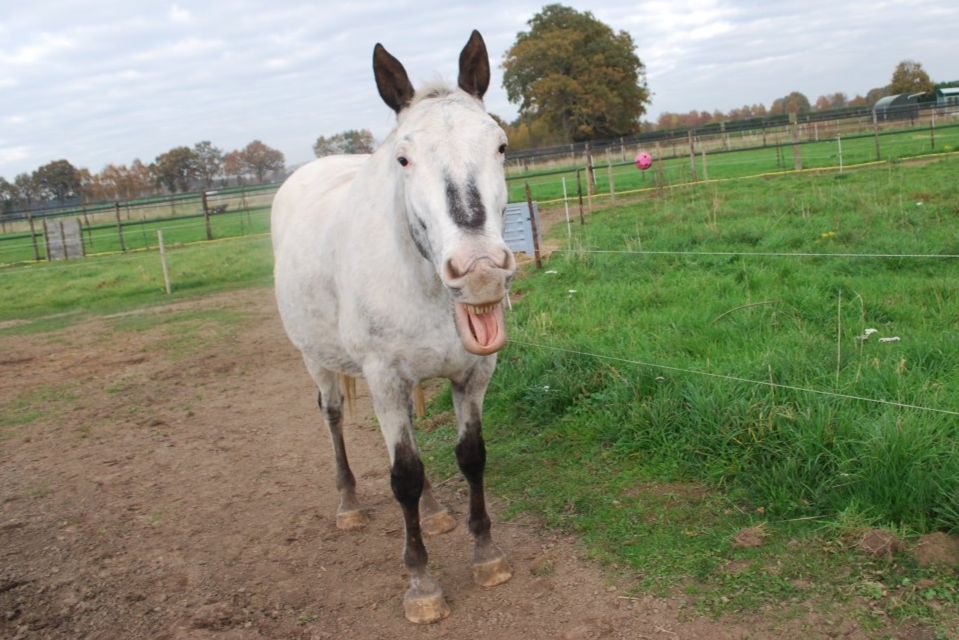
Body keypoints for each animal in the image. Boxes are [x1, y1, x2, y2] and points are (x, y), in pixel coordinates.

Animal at [271, 30, 516, 624]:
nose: (479, 271)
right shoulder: (382, 378)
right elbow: (402, 475)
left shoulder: (474, 374)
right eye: (404, 158)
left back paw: (435, 512)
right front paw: (422, 584)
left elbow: (470, 457)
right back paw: (348, 504)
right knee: (333, 415)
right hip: (319, 361)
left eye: (500, 145)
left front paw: (485, 554)